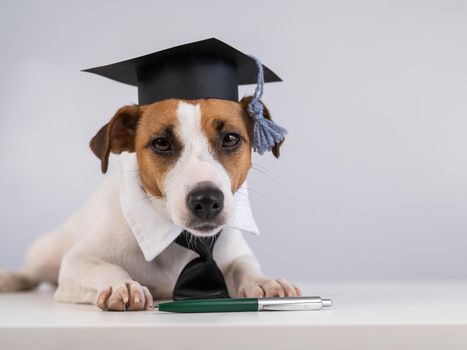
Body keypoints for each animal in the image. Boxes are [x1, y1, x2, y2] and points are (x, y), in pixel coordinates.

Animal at [0, 97, 302, 310]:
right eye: (161, 143)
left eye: (230, 138)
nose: (206, 200)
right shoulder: (78, 261)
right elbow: (104, 266)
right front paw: (122, 284)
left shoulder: (235, 252)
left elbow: (243, 266)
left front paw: (264, 281)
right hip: (46, 252)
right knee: (32, 272)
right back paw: (10, 278)